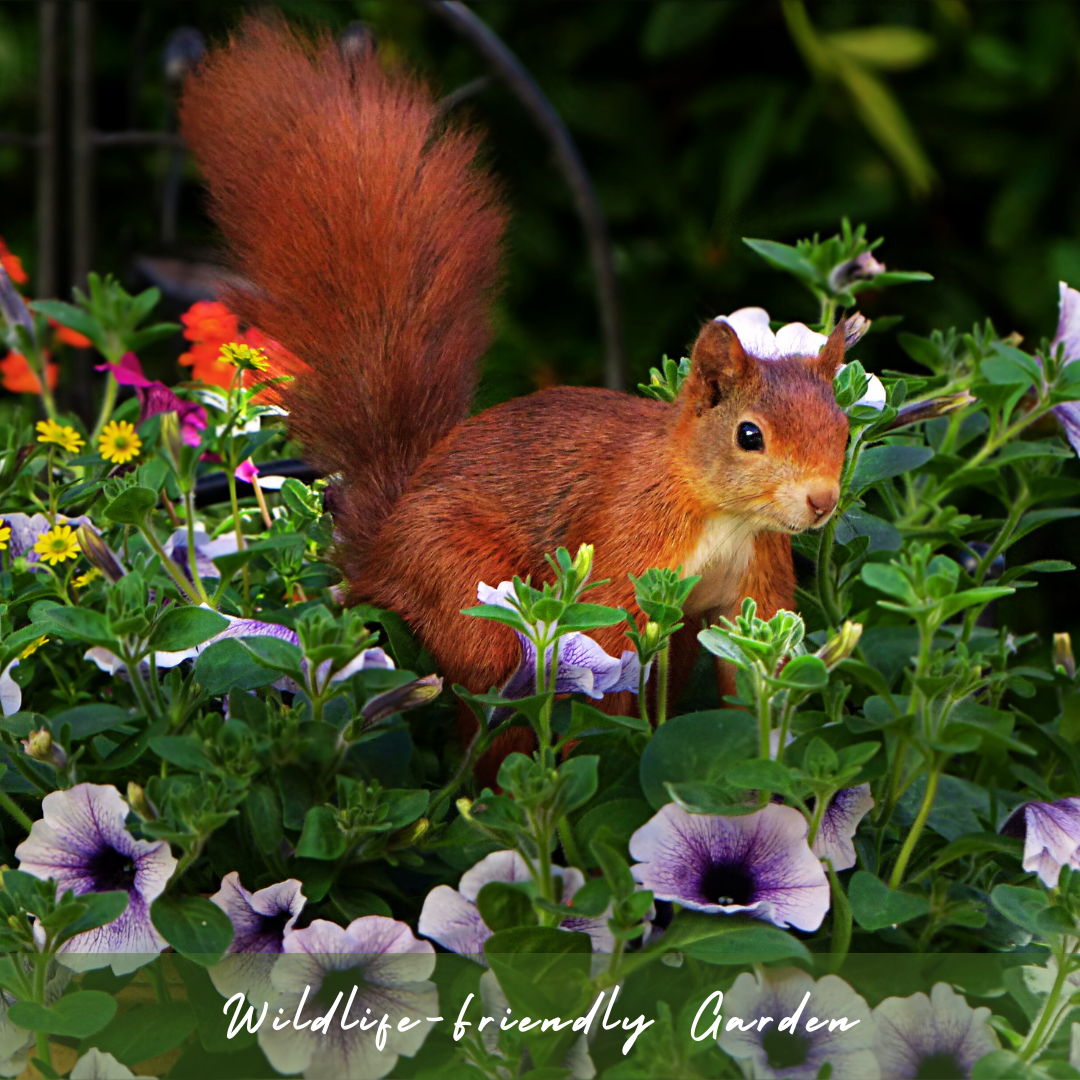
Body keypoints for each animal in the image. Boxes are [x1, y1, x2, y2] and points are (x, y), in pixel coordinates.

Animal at [181, 14, 846, 760]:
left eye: (843, 427)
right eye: (749, 435)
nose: (822, 501)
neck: (721, 514)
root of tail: (382, 545)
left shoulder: (753, 582)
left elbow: (761, 672)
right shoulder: (625, 544)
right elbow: (607, 649)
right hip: (464, 584)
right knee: (490, 696)